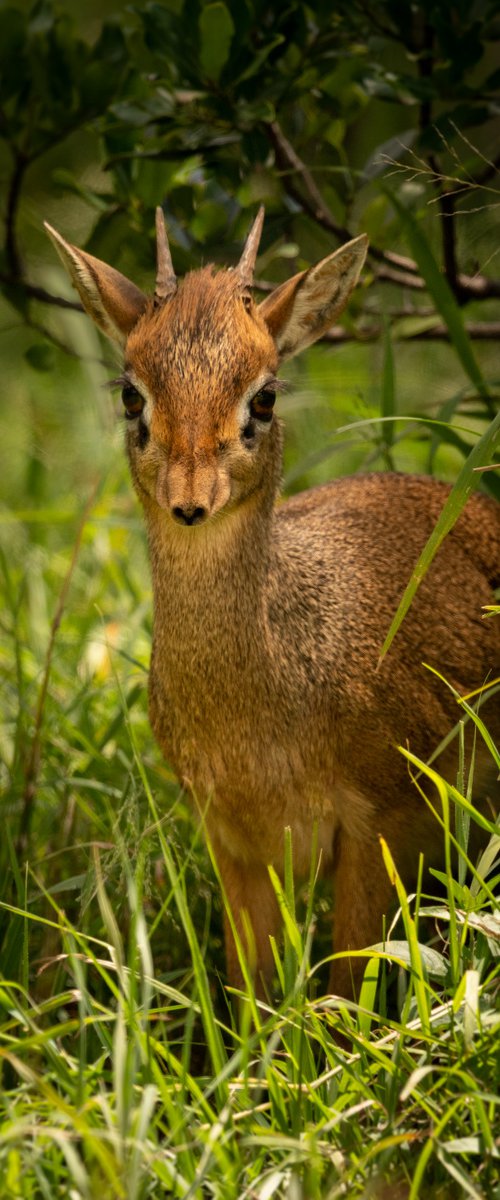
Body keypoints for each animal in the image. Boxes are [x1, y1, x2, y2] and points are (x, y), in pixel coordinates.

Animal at [44, 211, 496, 998]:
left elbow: (346, 995)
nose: (190, 501)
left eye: (264, 397)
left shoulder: (378, 827)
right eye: (132, 394)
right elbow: (248, 999)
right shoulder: (233, 843)